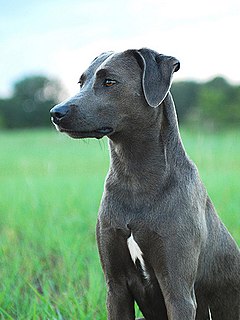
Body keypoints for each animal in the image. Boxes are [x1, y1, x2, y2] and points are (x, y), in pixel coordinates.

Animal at [49, 48, 239, 320]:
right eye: (81, 82)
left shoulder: (178, 292)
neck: (134, 178)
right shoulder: (115, 287)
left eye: (109, 81)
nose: (56, 112)